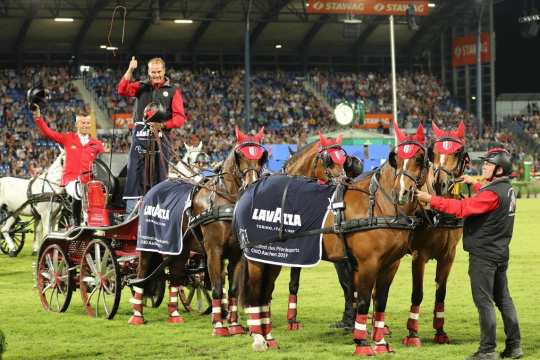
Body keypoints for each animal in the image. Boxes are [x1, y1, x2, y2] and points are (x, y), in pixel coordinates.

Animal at [129, 129, 268, 330]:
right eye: (240, 155)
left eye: (261, 157)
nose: (251, 185)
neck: (225, 201)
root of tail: (150, 191)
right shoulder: (213, 251)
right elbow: (217, 288)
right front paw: (219, 326)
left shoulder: (237, 254)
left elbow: (233, 289)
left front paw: (234, 325)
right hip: (148, 245)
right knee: (141, 275)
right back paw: (137, 315)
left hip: (180, 249)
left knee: (175, 276)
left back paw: (174, 314)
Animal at [238, 121, 428, 354]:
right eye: (396, 158)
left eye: (420, 158)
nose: (403, 192)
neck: (379, 204)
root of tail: (250, 190)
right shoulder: (368, 263)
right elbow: (363, 299)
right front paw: (362, 343)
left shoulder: (391, 264)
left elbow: (380, 301)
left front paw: (381, 342)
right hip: (257, 257)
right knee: (256, 292)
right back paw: (258, 337)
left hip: (273, 258)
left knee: (265, 293)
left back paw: (269, 337)